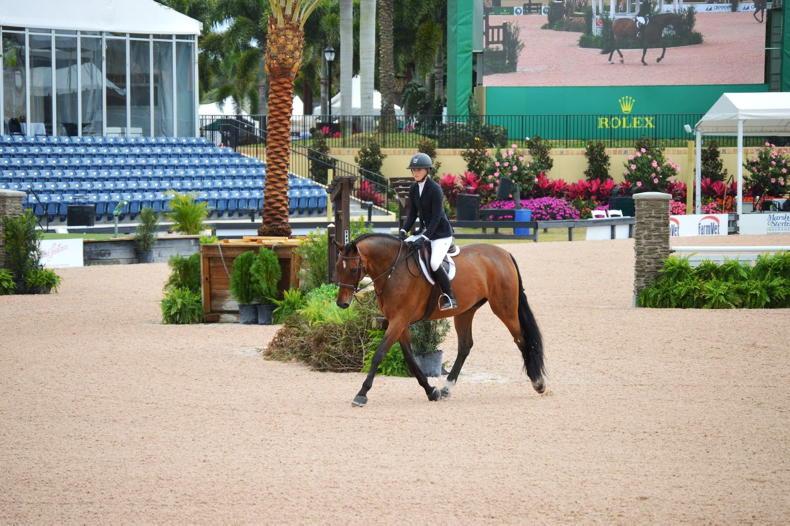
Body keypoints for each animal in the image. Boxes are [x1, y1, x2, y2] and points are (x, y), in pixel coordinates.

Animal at [334, 233, 545, 407]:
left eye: (353, 269)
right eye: (337, 267)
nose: (342, 304)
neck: (393, 271)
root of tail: (504, 253)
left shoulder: (399, 320)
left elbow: (379, 354)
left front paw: (361, 394)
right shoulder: (399, 322)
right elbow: (410, 358)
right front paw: (431, 391)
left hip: (504, 308)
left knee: (521, 340)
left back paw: (538, 383)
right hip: (465, 311)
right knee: (465, 346)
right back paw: (446, 388)